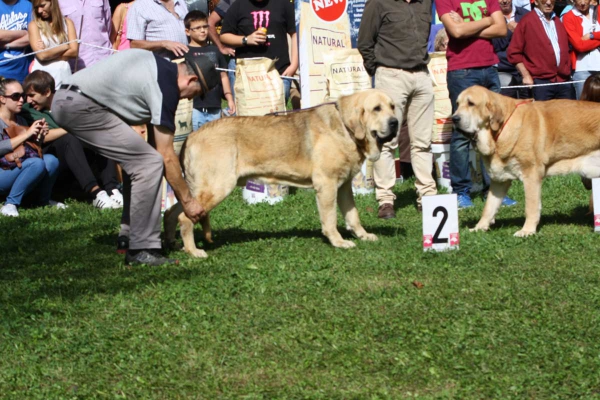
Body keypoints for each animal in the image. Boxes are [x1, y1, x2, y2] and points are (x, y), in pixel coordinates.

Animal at [163, 89, 398, 258]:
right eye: (376, 109)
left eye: (393, 106)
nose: (395, 122)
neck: (346, 128)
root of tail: (191, 136)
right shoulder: (327, 185)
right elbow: (330, 219)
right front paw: (338, 242)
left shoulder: (344, 186)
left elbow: (353, 215)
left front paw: (363, 235)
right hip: (217, 187)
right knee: (185, 218)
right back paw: (193, 251)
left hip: (197, 190)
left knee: (172, 212)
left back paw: (171, 243)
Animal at [452, 84, 600, 234]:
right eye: (457, 104)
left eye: (471, 103)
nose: (454, 118)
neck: (501, 128)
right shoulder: (499, 180)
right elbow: (489, 207)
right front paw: (479, 227)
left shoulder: (531, 174)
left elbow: (531, 206)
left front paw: (527, 231)